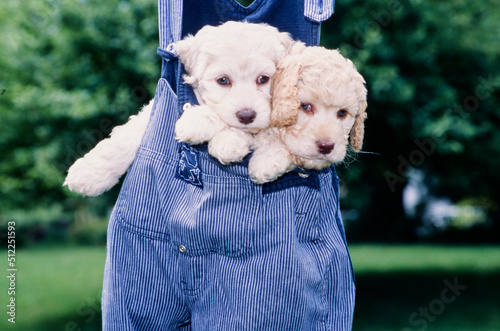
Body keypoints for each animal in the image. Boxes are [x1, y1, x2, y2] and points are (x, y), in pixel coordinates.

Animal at [65, 20, 294, 196]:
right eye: (223, 80)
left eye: (263, 79)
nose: (246, 115)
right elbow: (125, 138)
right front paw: (88, 173)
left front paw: (244, 150)